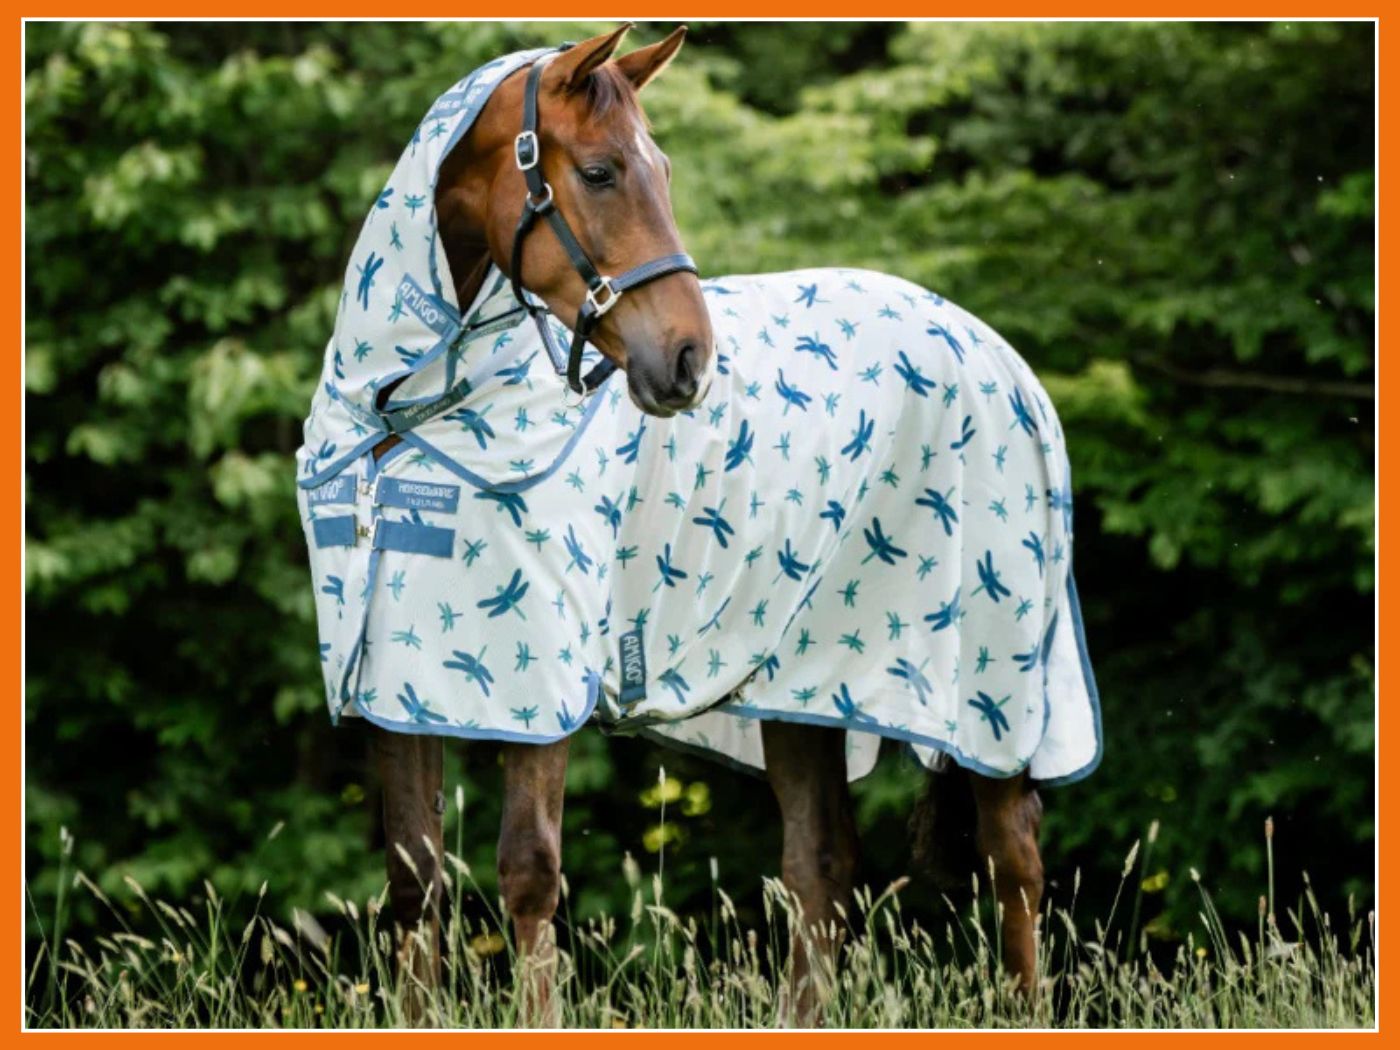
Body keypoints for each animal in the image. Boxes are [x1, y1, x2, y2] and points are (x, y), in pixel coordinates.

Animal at [298, 23, 1100, 1027]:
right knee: (822, 862)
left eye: (663, 171)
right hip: (803, 688)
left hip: (992, 698)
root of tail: (1000, 359)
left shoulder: (542, 691)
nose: (687, 360)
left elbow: (528, 874)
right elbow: (416, 882)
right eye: (600, 172)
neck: (402, 423)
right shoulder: (396, 696)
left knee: (1012, 858)